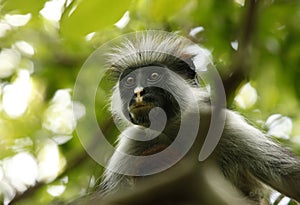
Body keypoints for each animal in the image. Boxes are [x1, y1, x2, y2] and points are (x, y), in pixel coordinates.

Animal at [99, 31, 300, 204]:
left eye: (154, 75)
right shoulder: (131, 146)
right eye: (130, 81)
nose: (138, 93)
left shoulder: (221, 125)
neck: (173, 129)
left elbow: (291, 177)